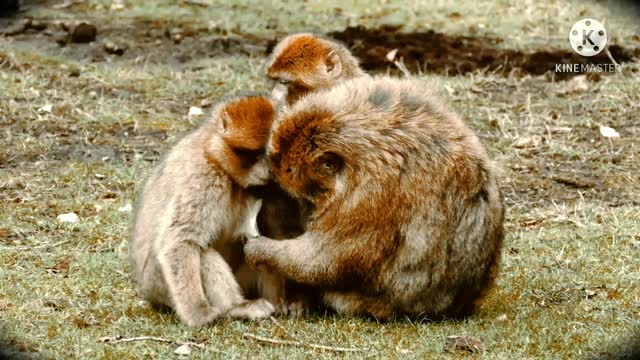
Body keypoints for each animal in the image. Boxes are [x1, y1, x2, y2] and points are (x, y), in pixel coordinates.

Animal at [129, 95, 278, 326]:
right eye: (252, 153)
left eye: (269, 151)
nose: (270, 169)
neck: (213, 153)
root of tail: (148, 292)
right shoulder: (202, 178)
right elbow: (179, 241)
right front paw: (197, 312)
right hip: (159, 284)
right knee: (202, 253)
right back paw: (236, 308)